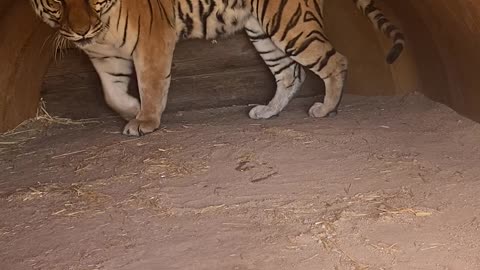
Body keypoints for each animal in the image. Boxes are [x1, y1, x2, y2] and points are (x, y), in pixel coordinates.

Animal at [29, 0, 404, 135]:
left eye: (91, 0)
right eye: (57, 1)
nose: (80, 31)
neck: (101, 29)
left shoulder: (152, 42)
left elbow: (151, 83)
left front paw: (145, 120)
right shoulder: (104, 58)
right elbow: (111, 95)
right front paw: (132, 110)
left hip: (290, 24)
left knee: (334, 60)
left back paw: (326, 109)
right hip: (262, 30)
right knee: (289, 74)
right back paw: (266, 111)